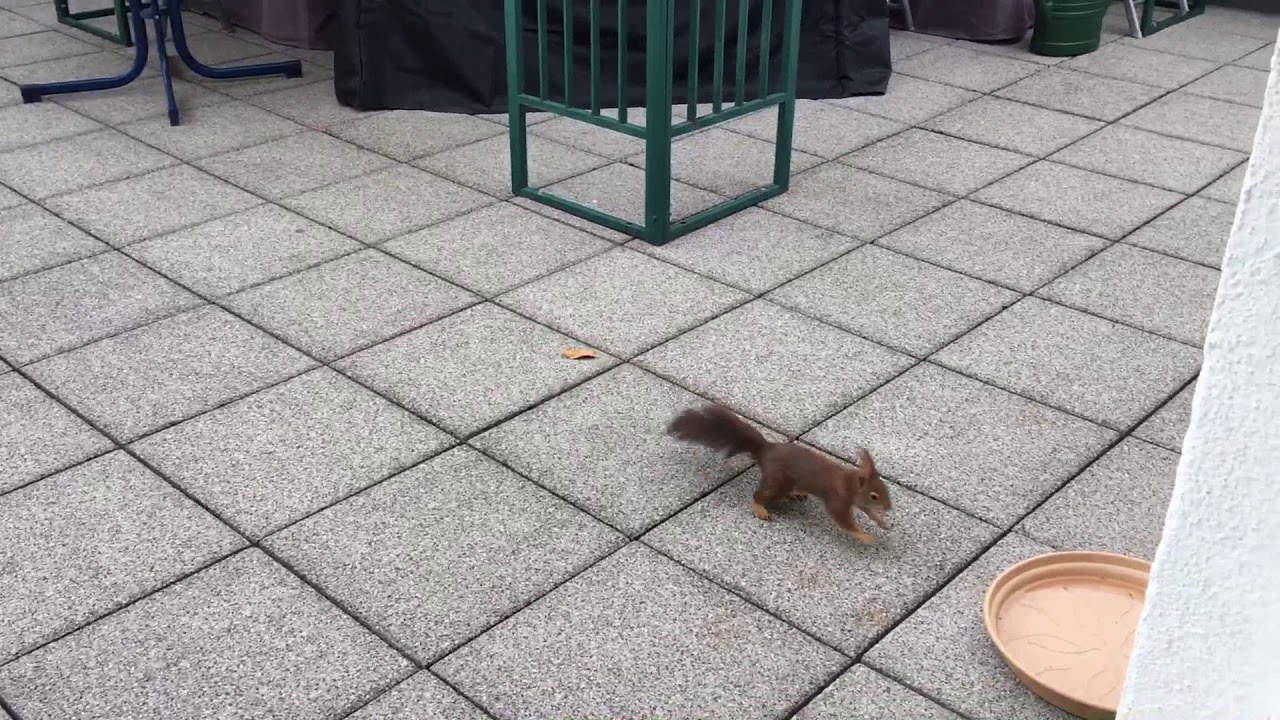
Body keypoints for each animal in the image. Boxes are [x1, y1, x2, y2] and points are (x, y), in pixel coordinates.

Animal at [667, 403, 891, 544]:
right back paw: (760, 509)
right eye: (874, 495)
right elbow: (843, 521)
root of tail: (766, 450)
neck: (849, 480)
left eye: (885, 488)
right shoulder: (837, 499)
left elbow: (866, 511)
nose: (888, 507)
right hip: (776, 482)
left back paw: (796, 493)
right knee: (759, 495)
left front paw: (881, 522)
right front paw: (865, 536)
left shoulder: (855, 500)